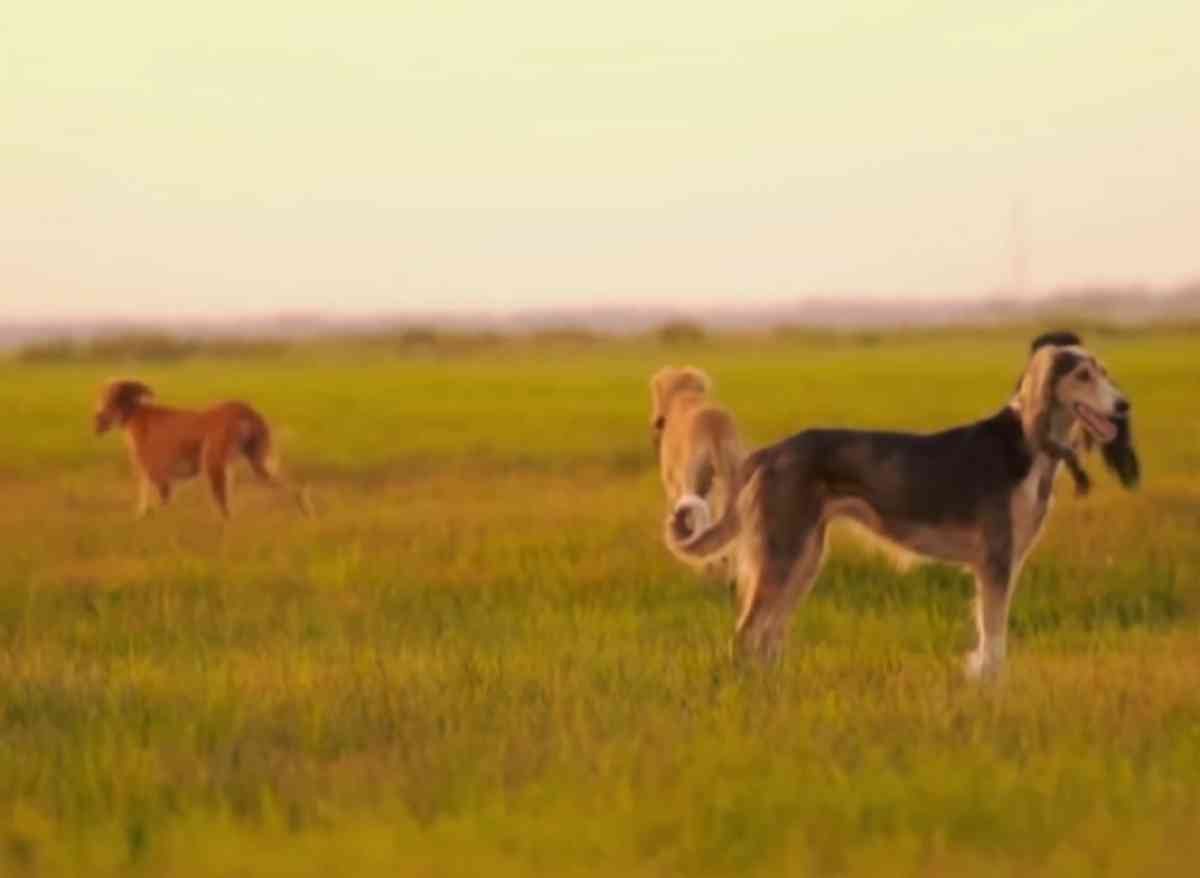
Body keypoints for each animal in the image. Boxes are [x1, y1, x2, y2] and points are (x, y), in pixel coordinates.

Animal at [94, 379, 309, 518]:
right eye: (102, 397)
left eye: (113, 397)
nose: (98, 418)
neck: (135, 415)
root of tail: (245, 411)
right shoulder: (153, 475)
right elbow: (147, 503)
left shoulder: (158, 473)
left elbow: (158, 503)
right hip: (255, 459)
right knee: (291, 486)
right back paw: (305, 511)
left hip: (214, 461)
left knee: (225, 508)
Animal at [672, 333, 1137, 676]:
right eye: (1082, 375)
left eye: (1104, 373)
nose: (1123, 405)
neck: (1026, 444)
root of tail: (770, 452)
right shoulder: (995, 562)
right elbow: (993, 642)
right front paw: (990, 689)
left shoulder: (1002, 564)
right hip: (784, 553)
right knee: (747, 634)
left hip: (803, 557)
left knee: (766, 636)